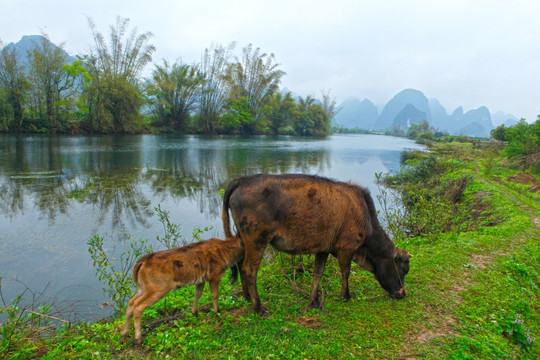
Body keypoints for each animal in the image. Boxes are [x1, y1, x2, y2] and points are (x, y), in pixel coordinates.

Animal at [221, 173, 412, 314]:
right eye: (403, 270)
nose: (402, 293)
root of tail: (242, 179)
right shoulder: (346, 246)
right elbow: (345, 272)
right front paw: (346, 296)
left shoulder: (324, 248)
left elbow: (317, 273)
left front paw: (314, 301)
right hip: (257, 239)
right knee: (249, 270)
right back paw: (259, 308)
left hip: (243, 237)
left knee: (240, 264)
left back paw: (247, 297)